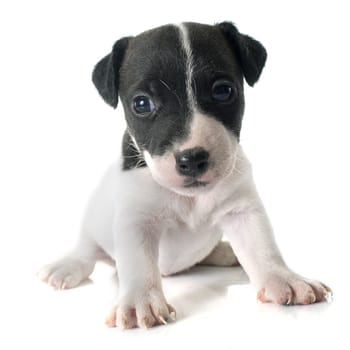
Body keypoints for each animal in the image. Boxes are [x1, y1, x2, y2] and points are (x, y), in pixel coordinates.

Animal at [38, 21, 330, 328]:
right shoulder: (136, 222)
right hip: (93, 223)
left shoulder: (243, 211)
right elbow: (138, 263)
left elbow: (263, 247)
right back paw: (67, 266)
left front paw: (284, 278)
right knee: (87, 250)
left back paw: (223, 251)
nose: (192, 159)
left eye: (223, 91)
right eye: (141, 104)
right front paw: (140, 299)